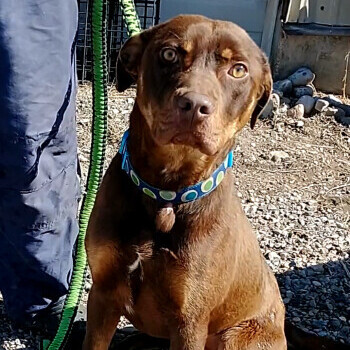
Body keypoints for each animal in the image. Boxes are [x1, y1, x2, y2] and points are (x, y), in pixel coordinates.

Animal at [82, 15, 288, 350]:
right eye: (169, 54)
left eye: (238, 70)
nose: (194, 105)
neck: (166, 192)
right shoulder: (102, 292)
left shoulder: (189, 321)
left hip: (236, 338)